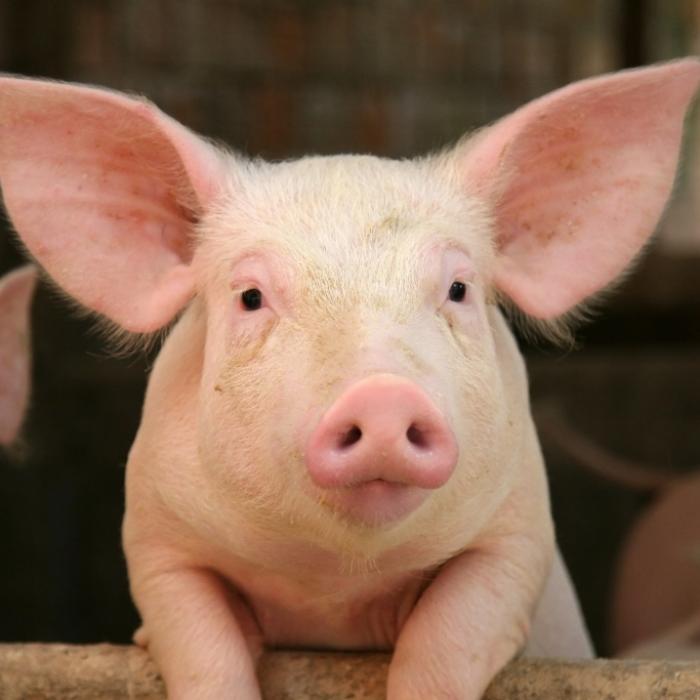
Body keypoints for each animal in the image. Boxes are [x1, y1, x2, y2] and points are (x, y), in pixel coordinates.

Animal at [0, 59, 697, 699]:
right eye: (250, 297)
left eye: (458, 288)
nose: (383, 394)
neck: (335, 583)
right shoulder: (157, 540)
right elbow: (200, 646)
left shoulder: (518, 535)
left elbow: (448, 637)